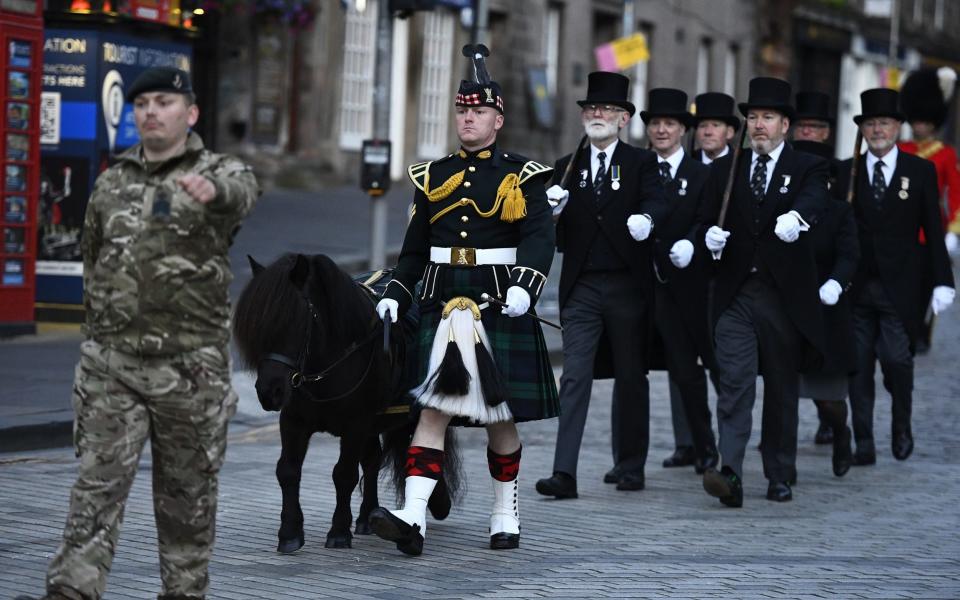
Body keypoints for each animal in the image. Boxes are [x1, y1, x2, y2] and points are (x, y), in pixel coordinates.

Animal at [232, 253, 458, 552]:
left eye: (297, 319)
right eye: (258, 326)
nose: (270, 392)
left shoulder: (356, 425)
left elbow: (344, 474)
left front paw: (339, 532)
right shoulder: (293, 421)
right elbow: (288, 470)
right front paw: (290, 532)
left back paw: (437, 501)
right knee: (373, 460)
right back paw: (367, 517)